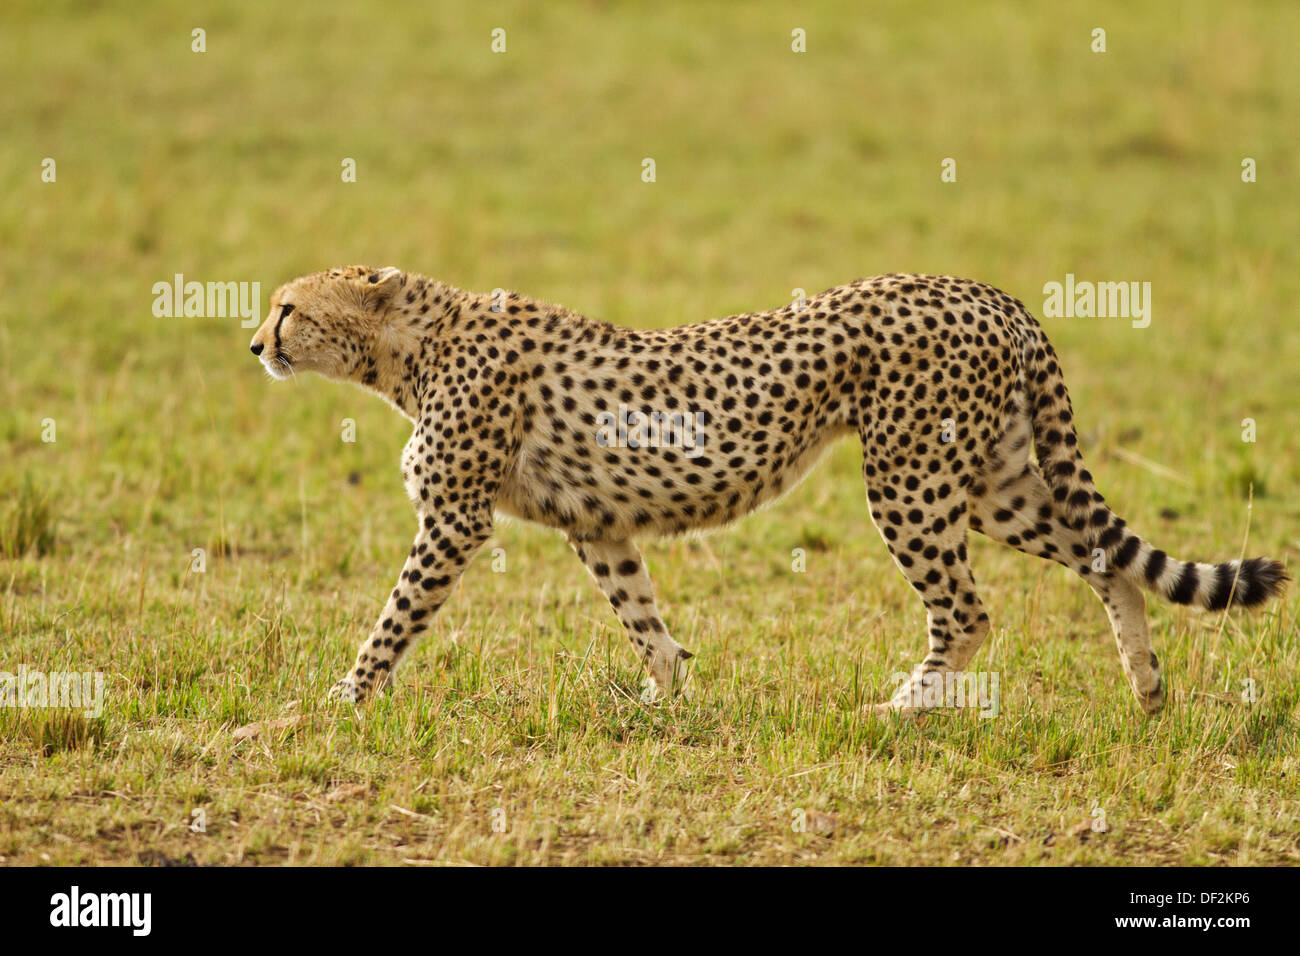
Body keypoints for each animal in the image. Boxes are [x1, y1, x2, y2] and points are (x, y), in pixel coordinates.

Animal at [248, 265, 1284, 712]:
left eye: (289, 306)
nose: (255, 343)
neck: (412, 344)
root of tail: (991, 291)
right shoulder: (598, 526)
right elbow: (644, 619)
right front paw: (668, 701)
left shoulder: (455, 520)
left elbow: (391, 621)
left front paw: (339, 699)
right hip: (992, 481)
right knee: (1106, 557)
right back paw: (1146, 689)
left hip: (909, 479)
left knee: (968, 609)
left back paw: (898, 710)